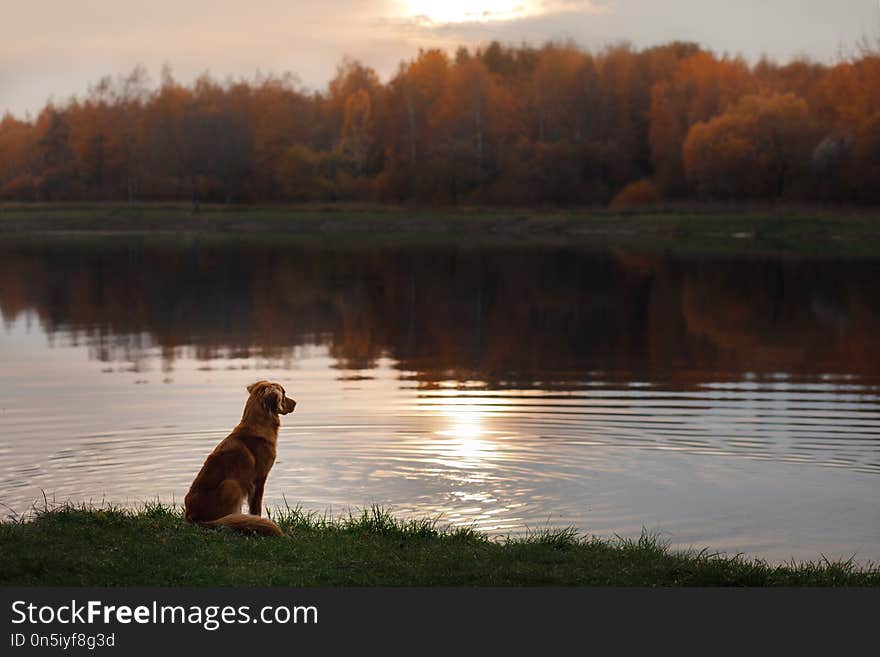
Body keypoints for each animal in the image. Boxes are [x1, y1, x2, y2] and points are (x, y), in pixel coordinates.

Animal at [185, 382, 296, 536]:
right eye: (284, 394)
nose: (295, 403)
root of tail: (192, 517)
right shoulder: (259, 479)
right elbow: (256, 508)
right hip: (232, 485)